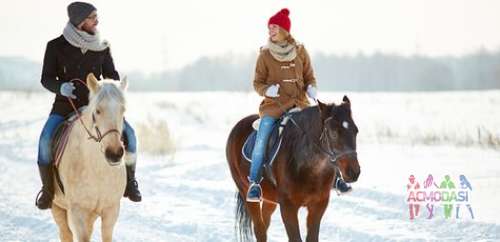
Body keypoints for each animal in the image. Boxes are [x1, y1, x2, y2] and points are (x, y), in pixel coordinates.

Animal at [50, 73, 128, 242]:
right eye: (97, 111)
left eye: (123, 110)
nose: (114, 154)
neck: (98, 170)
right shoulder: (78, 213)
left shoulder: (111, 210)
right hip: (57, 207)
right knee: (65, 234)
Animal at [226, 96, 360, 242]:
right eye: (333, 133)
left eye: (356, 131)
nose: (354, 172)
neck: (309, 168)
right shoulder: (288, 207)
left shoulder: (319, 205)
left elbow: (312, 237)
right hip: (245, 191)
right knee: (260, 229)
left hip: (270, 199)